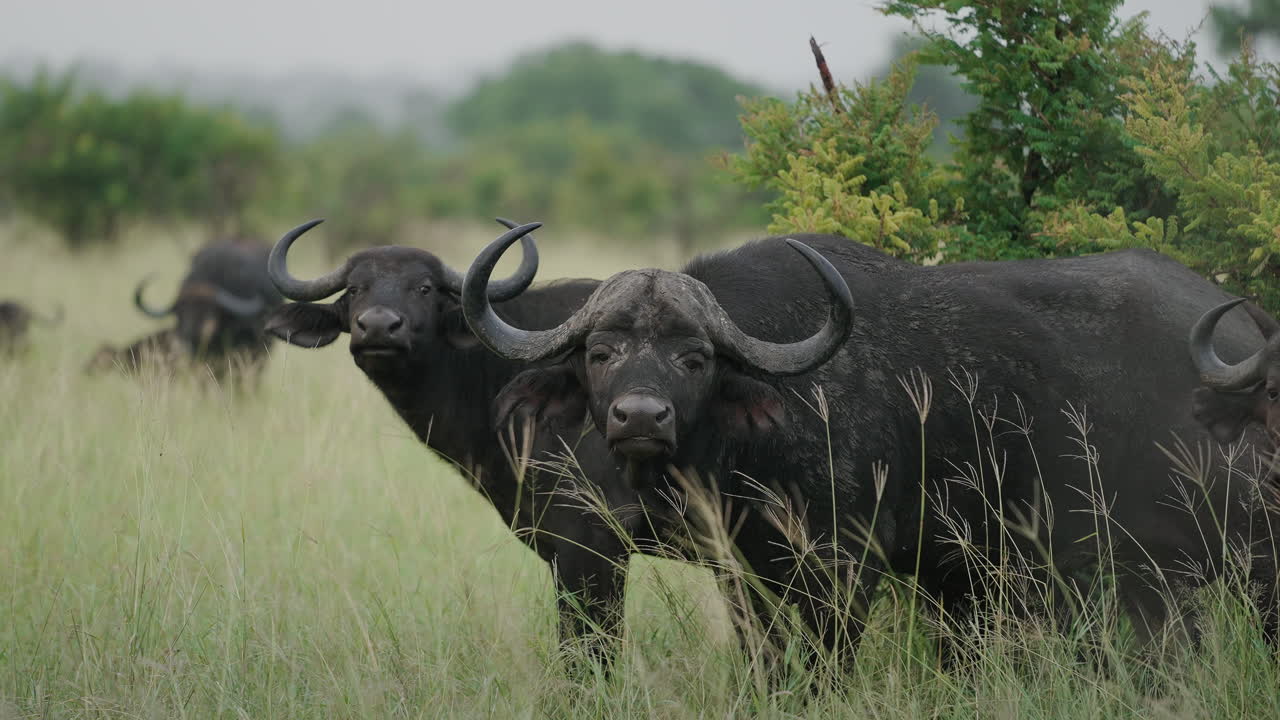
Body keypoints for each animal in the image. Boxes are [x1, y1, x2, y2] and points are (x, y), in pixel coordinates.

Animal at [464, 227, 1280, 665]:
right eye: (601, 353)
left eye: (694, 357)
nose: (640, 417)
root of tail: (1241, 330)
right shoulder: (742, 570)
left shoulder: (844, 564)